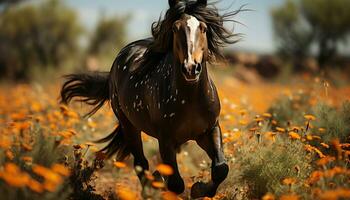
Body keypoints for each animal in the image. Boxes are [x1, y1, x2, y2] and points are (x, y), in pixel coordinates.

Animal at [60, 0, 241, 197]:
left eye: (204, 28)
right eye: (175, 28)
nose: (191, 68)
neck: (190, 99)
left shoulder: (209, 130)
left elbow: (221, 169)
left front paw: (198, 189)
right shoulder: (165, 138)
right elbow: (176, 184)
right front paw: (174, 185)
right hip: (129, 126)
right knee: (141, 163)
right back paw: (151, 184)